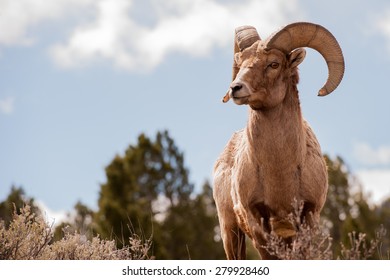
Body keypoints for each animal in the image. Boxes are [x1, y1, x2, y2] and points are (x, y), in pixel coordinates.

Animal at [213, 22, 344, 260]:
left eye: (274, 64)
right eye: (241, 61)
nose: (235, 88)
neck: (280, 174)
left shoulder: (308, 217)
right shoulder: (257, 223)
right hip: (230, 231)